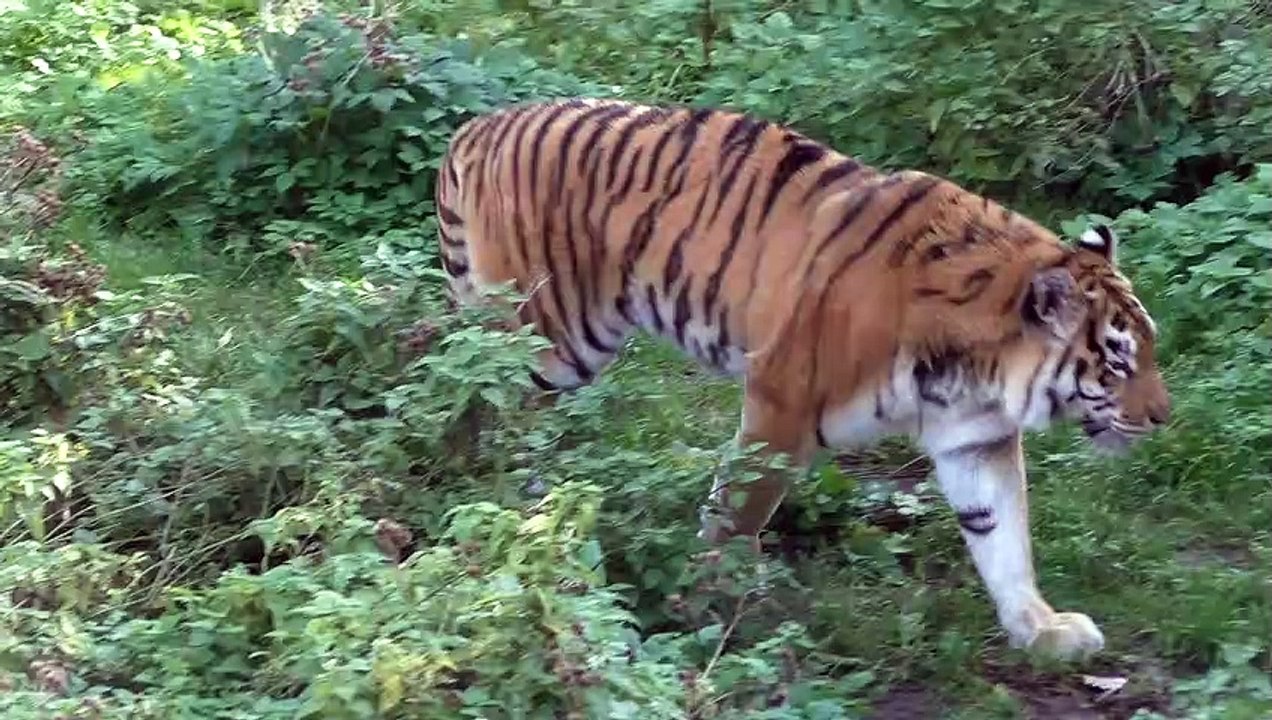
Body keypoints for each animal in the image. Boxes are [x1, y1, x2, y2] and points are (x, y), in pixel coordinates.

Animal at [433, 98, 1170, 661]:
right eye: (1117, 358)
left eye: (1150, 348)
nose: (1164, 417)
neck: (979, 365)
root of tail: (479, 127)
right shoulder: (780, 406)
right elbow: (738, 513)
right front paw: (709, 607)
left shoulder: (976, 438)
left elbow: (1005, 538)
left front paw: (1043, 631)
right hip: (544, 339)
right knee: (475, 402)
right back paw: (500, 504)